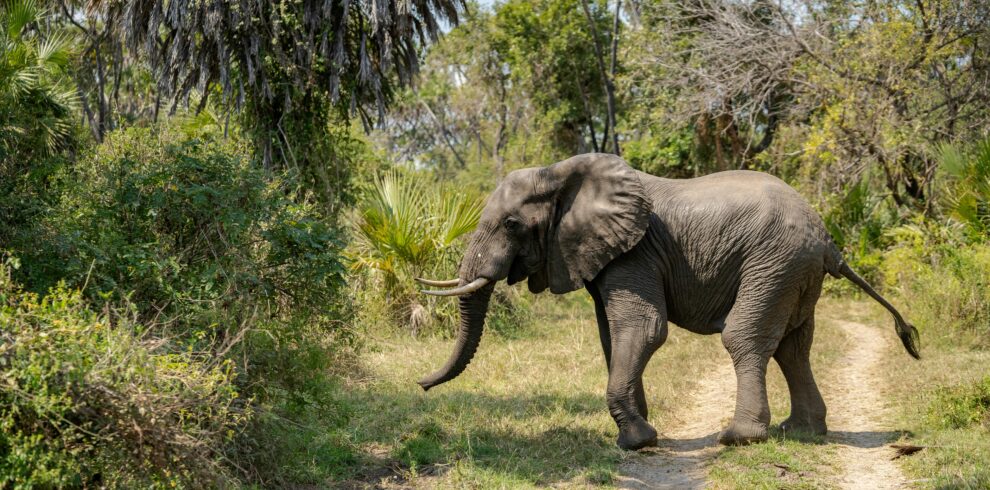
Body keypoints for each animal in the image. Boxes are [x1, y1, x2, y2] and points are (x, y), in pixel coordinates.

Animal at [415, 153, 920, 450]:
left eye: (512, 225)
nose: (420, 385)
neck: (561, 173)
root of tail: (828, 240)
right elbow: (611, 336)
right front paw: (636, 430)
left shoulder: (635, 251)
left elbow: (643, 328)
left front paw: (636, 441)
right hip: (795, 273)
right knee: (793, 346)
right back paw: (800, 432)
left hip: (774, 263)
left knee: (746, 338)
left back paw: (738, 437)